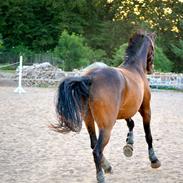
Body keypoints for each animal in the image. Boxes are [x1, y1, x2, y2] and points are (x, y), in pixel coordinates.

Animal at [49, 30, 160, 182]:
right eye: (153, 48)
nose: (151, 69)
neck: (135, 68)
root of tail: (91, 78)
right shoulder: (145, 109)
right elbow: (148, 135)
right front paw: (154, 159)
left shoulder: (123, 111)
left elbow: (131, 123)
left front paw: (129, 144)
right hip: (107, 126)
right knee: (97, 150)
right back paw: (101, 175)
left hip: (89, 120)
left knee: (93, 144)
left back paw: (107, 166)